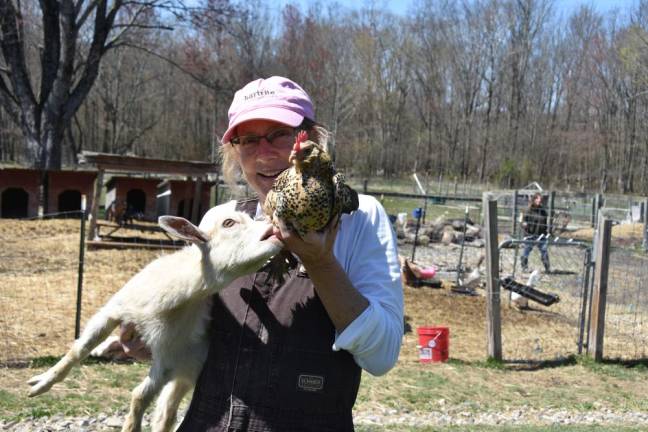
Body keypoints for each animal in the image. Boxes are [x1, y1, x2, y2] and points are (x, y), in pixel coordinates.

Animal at [26, 208, 282, 430]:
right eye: (229, 222)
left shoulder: (168, 359)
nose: (275, 228)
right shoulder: (113, 309)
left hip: (185, 371)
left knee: (166, 414)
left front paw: (130, 427)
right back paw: (106, 348)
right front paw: (41, 384)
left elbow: (139, 396)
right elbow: (77, 351)